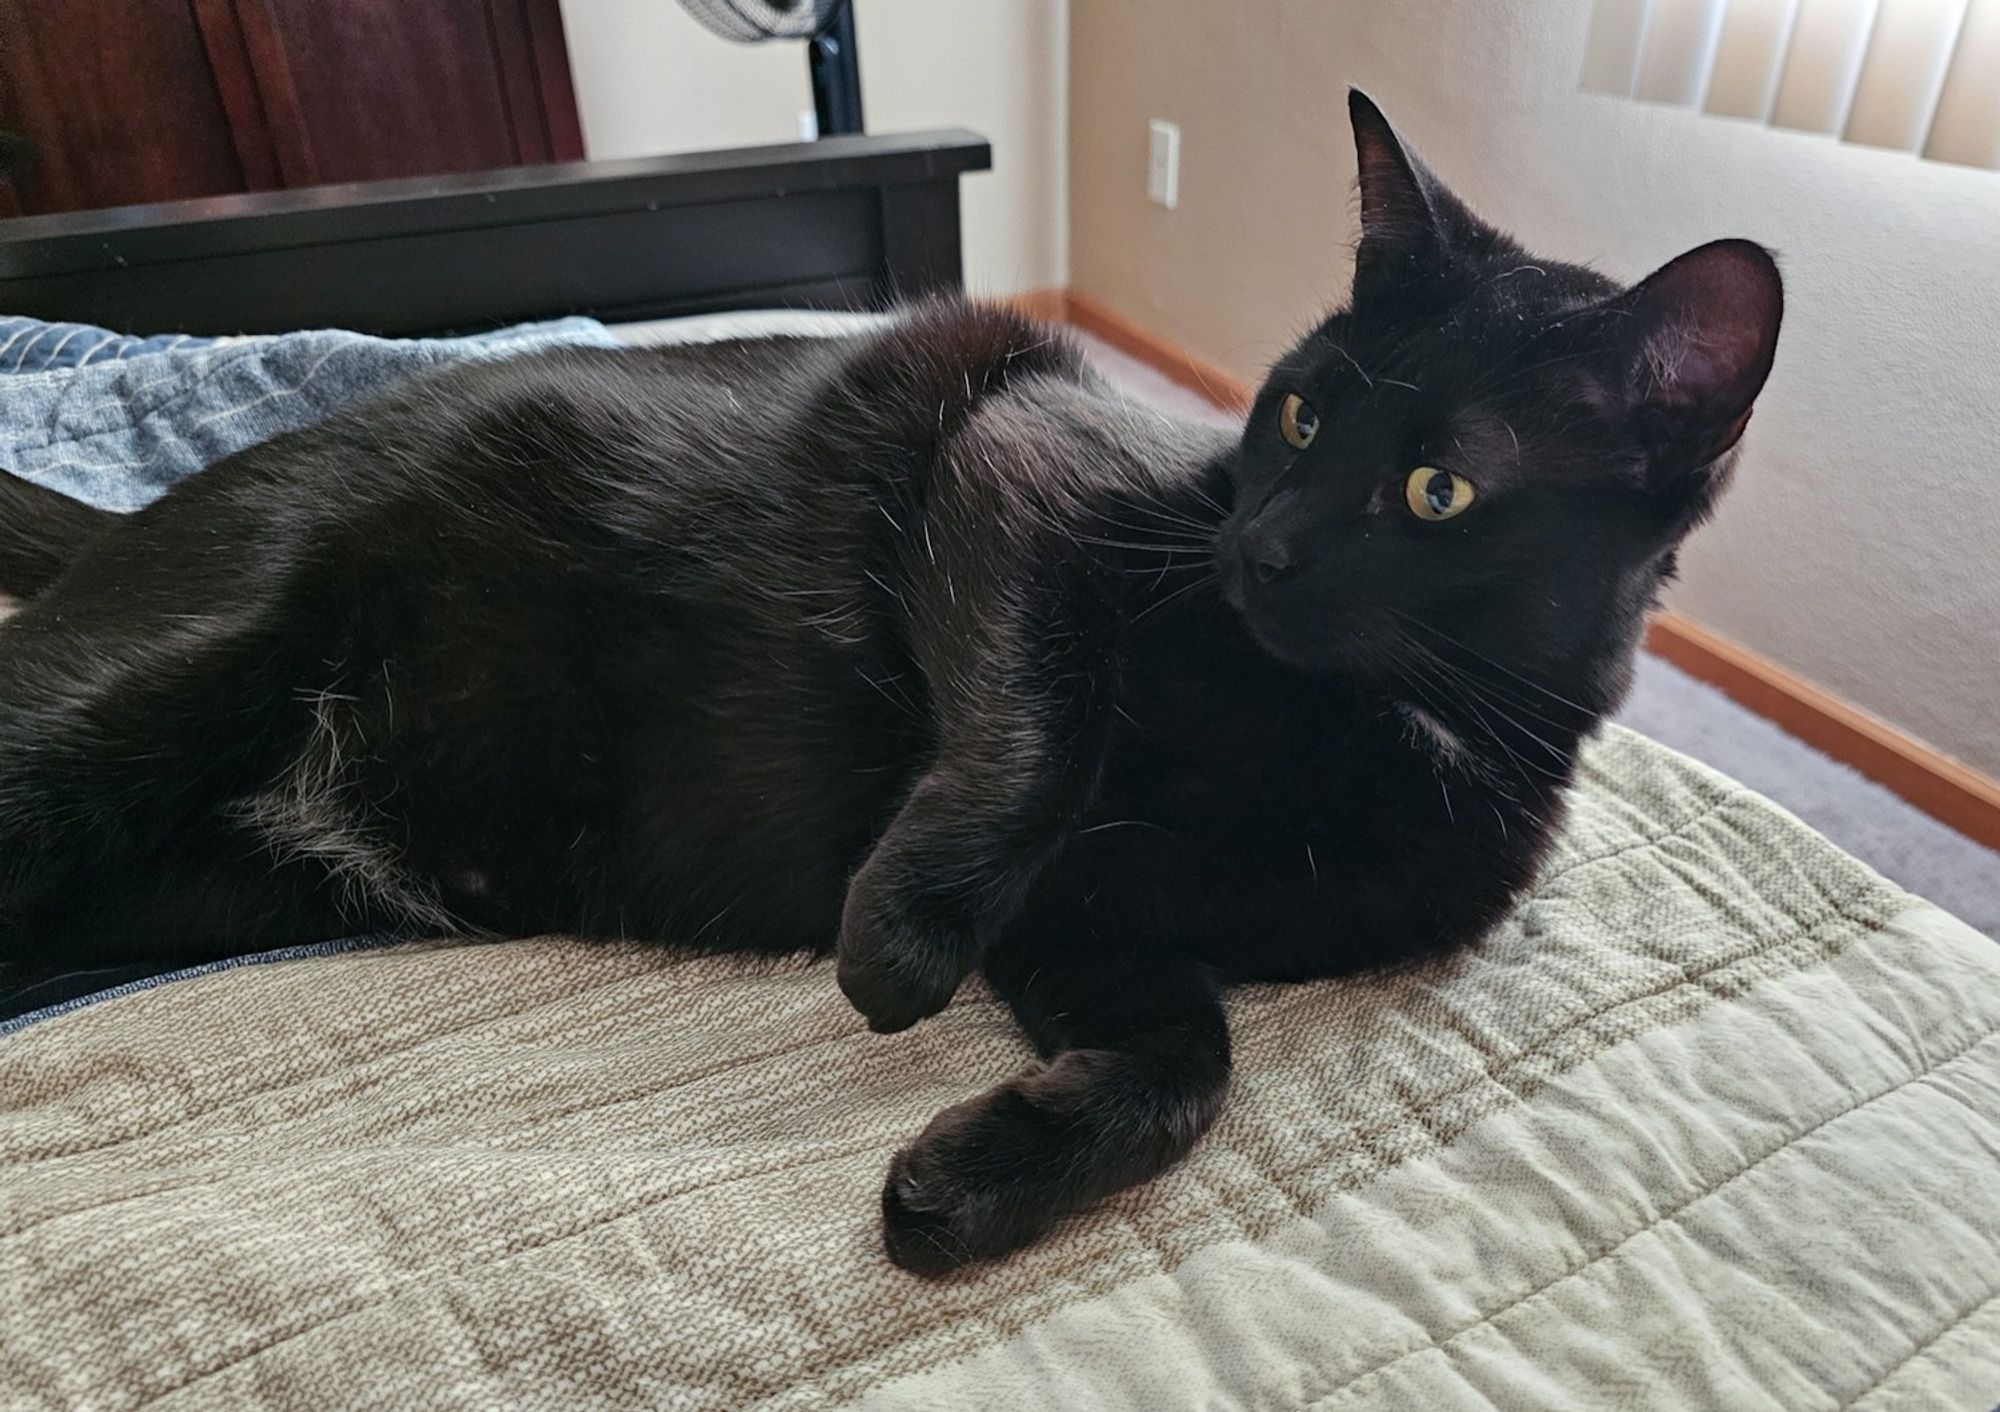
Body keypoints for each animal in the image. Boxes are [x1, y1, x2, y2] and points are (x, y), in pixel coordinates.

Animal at [0, 93, 1784, 1272]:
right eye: (1293, 414)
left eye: (1437, 492)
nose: (1262, 545)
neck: (1352, 731)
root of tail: (136, 523)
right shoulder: (1029, 457)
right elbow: (1035, 719)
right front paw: (900, 941)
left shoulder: (1099, 924)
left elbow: (1190, 1067)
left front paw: (977, 1181)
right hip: (137, 701)